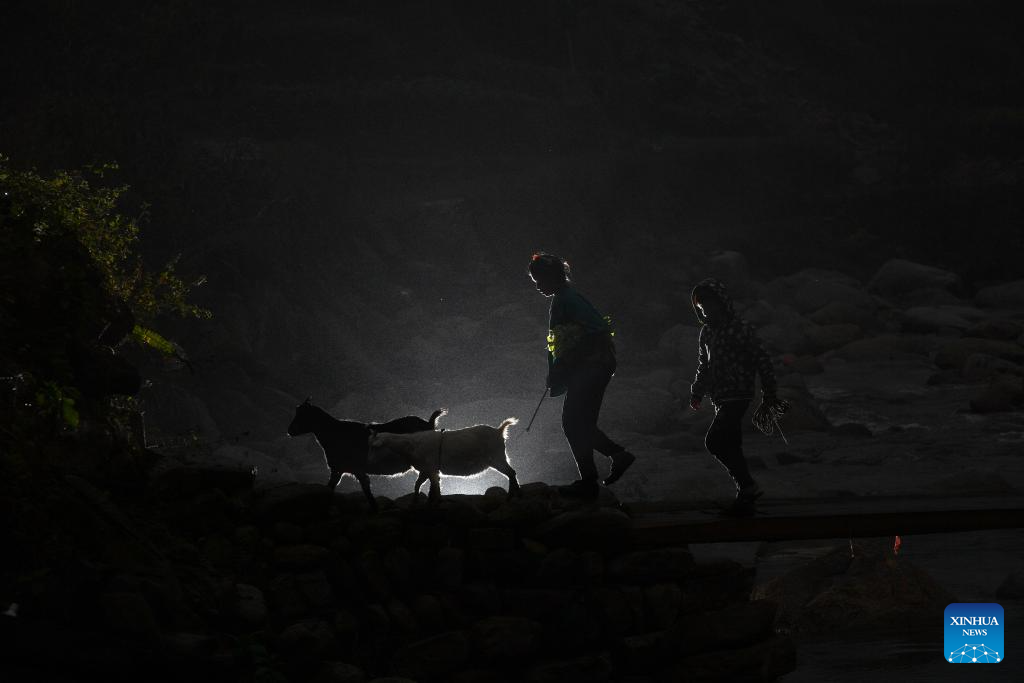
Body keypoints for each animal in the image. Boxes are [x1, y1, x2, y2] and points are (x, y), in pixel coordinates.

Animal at [284, 397, 444, 509]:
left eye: (303, 414)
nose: (290, 431)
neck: (334, 433)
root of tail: (430, 424)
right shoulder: (340, 469)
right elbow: (331, 487)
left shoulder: (354, 468)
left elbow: (364, 488)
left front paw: (374, 507)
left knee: (431, 477)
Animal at [368, 419, 520, 499]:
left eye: (375, 447)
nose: (369, 461)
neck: (409, 446)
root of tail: (499, 430)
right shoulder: (426, 469)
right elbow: (419, 484)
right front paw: (417, 500)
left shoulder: (430, 467)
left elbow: (433, 486)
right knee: (511, 472)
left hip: (497, 457)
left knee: (511, 472)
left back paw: (513, 494)